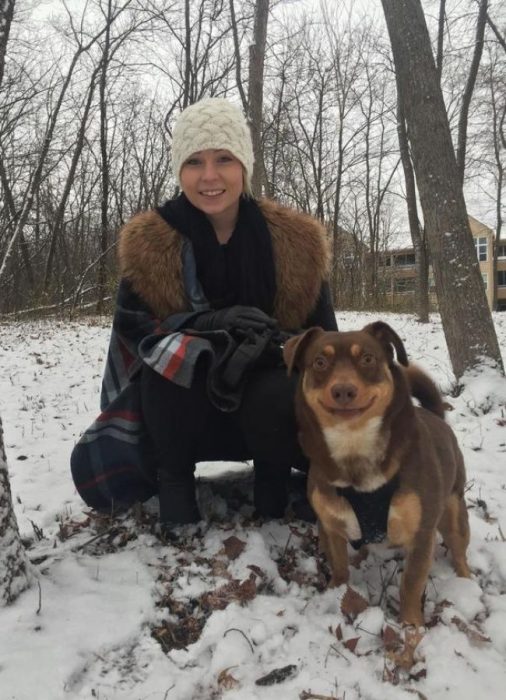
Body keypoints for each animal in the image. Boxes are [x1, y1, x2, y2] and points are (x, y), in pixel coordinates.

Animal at [284, 320, 470, 628]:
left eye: (368, 359)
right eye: (320, 362)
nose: (343, 391)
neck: (354, 447)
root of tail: (436, 417)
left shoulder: (421, 536)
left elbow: (410, 585)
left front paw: (411, 628)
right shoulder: (331, 526)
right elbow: (339, 568)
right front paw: (337, 594)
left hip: (454, 511)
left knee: (459, 549)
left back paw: (467, 581)